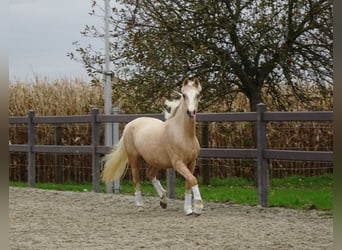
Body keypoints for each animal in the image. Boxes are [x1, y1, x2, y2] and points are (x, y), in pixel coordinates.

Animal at [101, 77, 203, 215]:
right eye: (184, 95)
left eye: (197, 95)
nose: (191, 112)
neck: (184, 135)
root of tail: (129, 125)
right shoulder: (178, 163)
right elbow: (193, 180)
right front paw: (198, 206)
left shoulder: (192, 162)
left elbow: (189, 182)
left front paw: (189, 209)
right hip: (134, 158)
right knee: (136, 180)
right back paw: (140, 206)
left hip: (156, 161)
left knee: (150, 174)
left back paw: (163, 200)